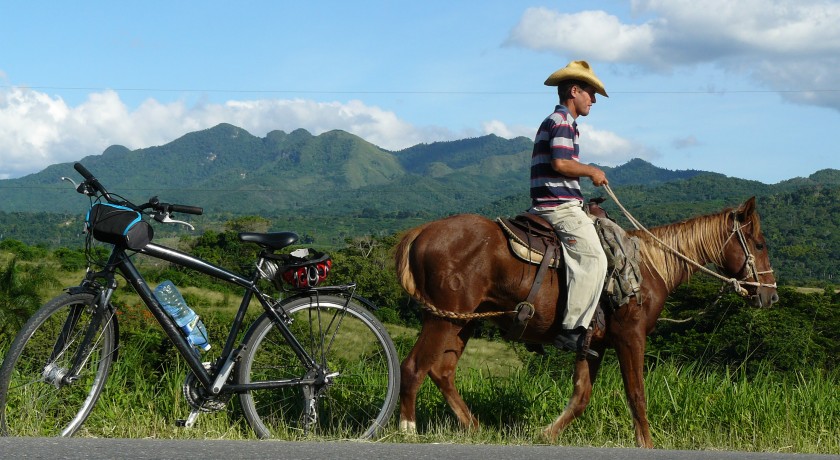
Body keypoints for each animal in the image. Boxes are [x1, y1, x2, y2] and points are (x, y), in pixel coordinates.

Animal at [398, 197, 776, 446]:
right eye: (759, 244)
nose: (771, 295)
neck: (650, 266)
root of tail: (422, 231)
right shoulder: (630, 337)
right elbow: (636, 393)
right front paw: (646, 444)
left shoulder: (592, 342)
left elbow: (581, 395)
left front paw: (547, 434)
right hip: (441, 318)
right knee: (414, 366)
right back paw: (407, 428)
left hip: (462, 322)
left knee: (442, 370)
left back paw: (472, 426)